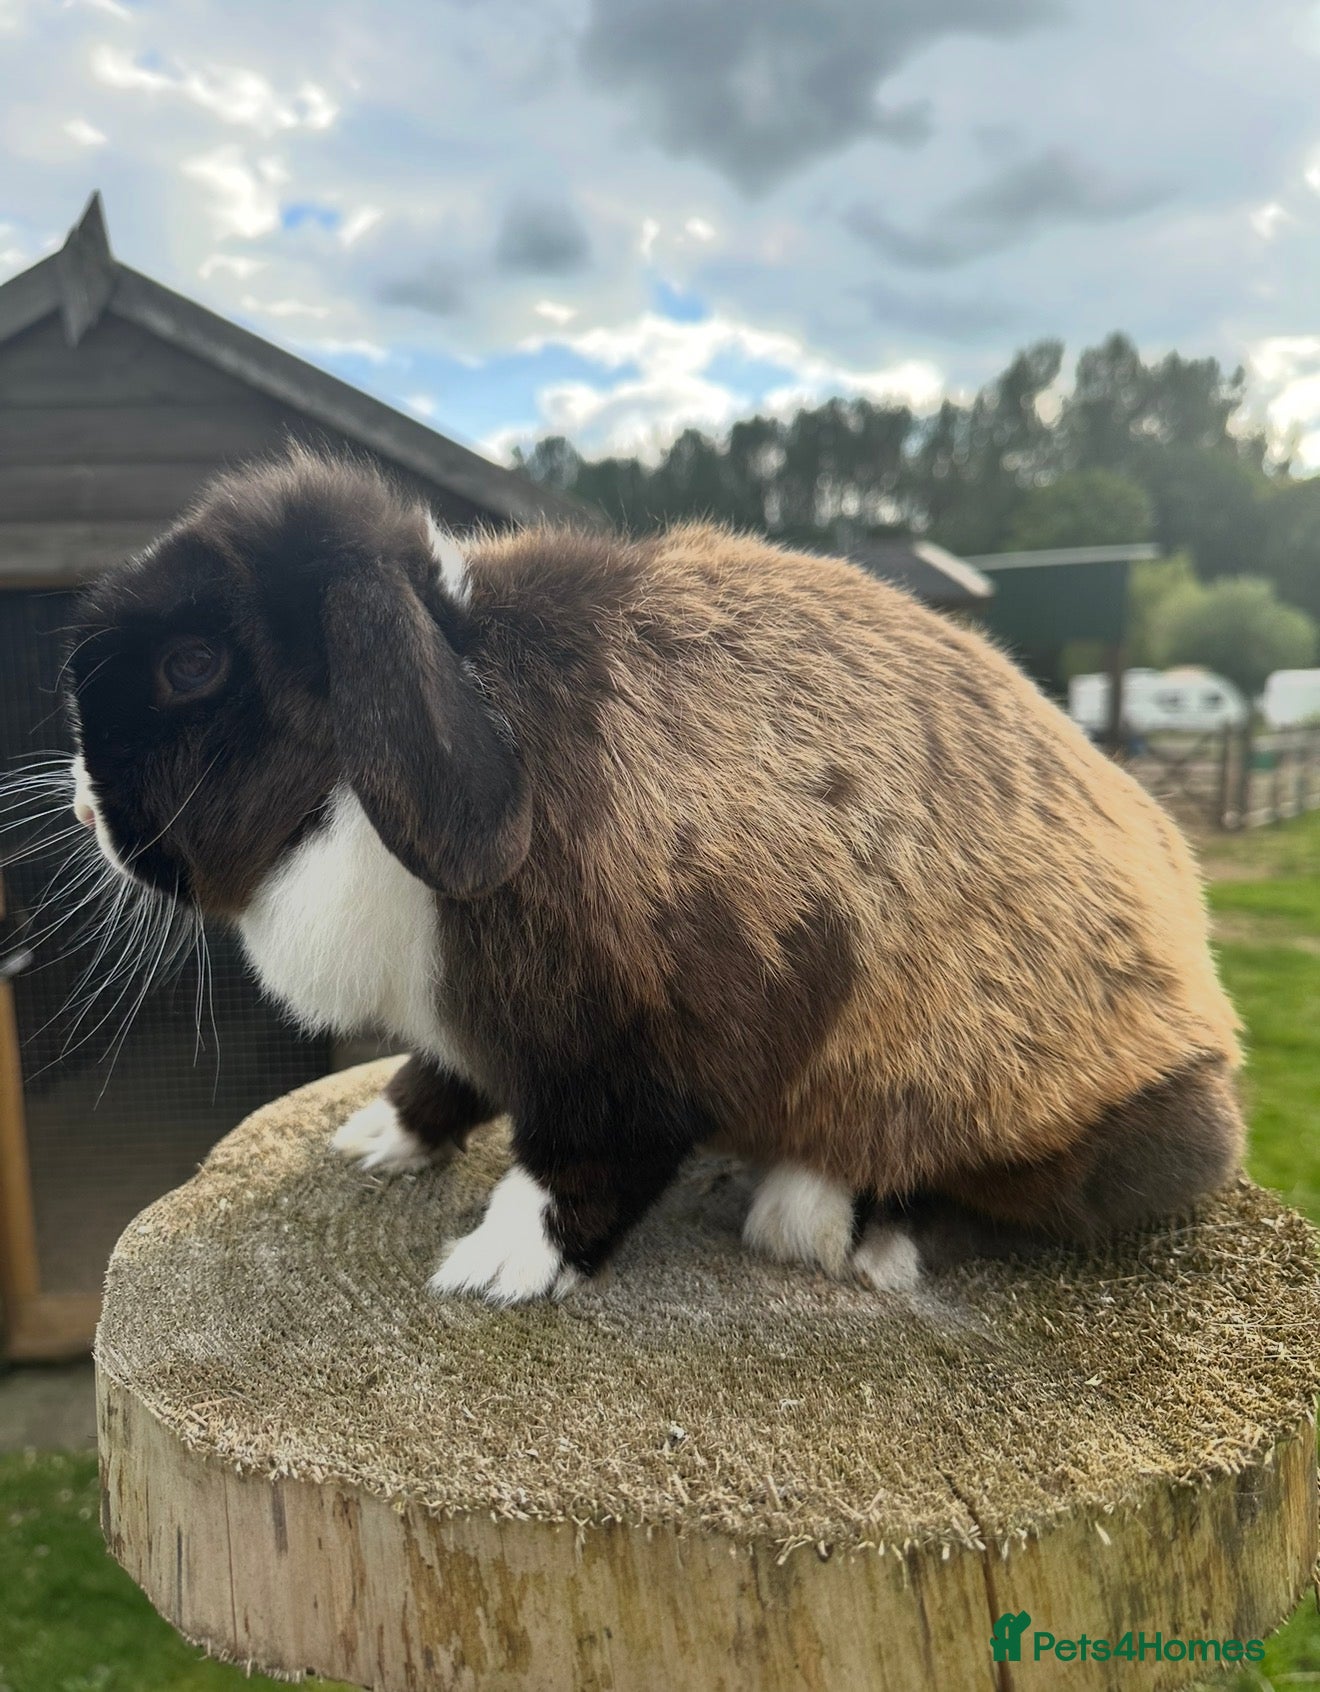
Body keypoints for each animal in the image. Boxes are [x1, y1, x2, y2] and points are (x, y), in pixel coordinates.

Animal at [65, 448, 1244, 1305]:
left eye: (192, 666)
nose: (81, 804)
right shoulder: (476, 1021)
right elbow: (443, 1078)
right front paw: (376, 1140)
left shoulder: (638, 1047)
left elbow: (579, 1163)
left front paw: (500, 1271)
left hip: (1097, 1119)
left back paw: (838, 1227)